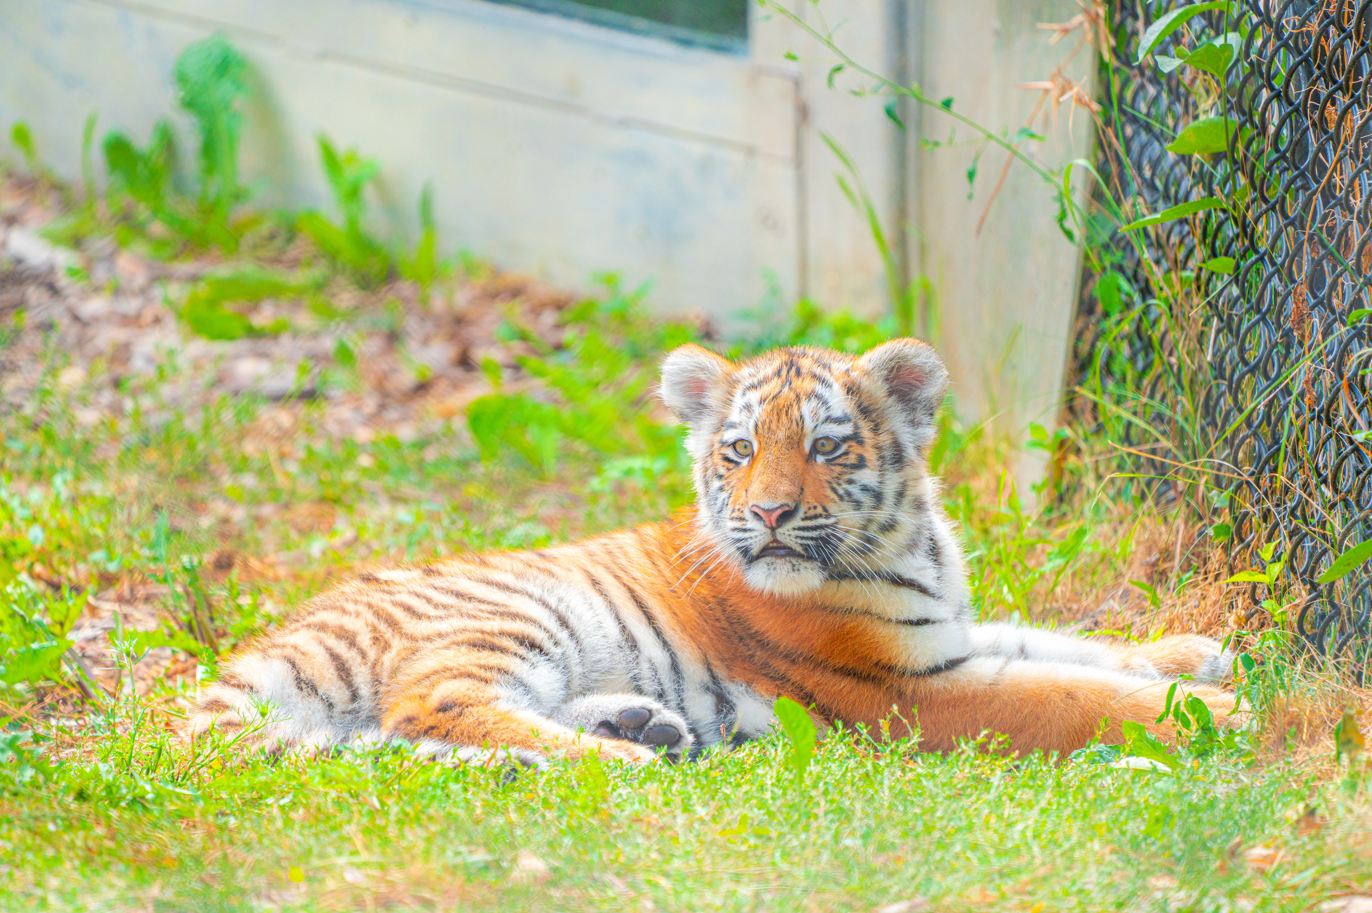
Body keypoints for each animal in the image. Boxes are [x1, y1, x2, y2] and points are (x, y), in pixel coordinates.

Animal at [190, 339, 1241, 765]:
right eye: (738, 449)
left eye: (826, 446)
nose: (771, 513)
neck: (909, 547)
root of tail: (268, 644)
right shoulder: (908, 691)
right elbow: (1070, 694)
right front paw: (1223, 715)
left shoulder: (946, 635)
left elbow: (1063, 644)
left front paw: (1194, 656)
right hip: (508, 618)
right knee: (433, 706)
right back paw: (618, 761)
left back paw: (641, 724)